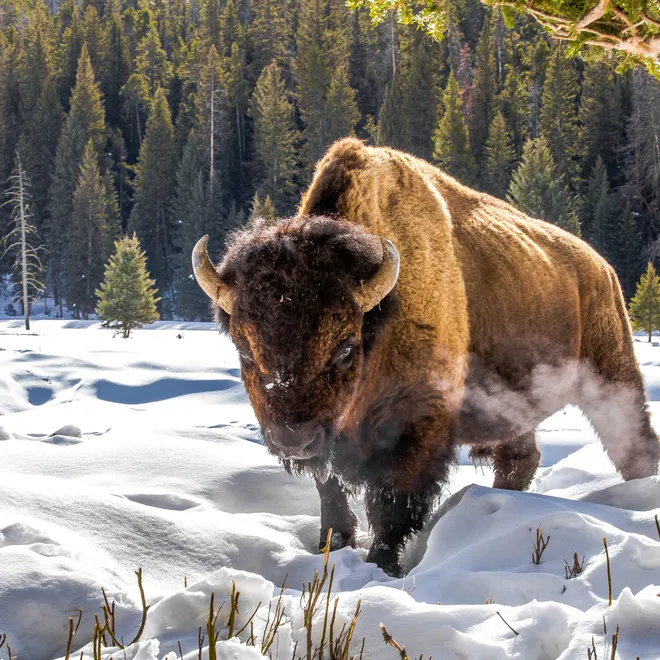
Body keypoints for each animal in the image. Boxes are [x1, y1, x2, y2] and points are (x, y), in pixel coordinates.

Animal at [192, 138, 659, 576]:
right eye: (244, 349)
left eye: (345, 347)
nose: (292, 438)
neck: (381, 319)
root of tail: (602, 268)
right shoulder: (332, 443)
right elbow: (332, 496)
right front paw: (333, 548)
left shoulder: (419, 423)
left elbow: (393, 505)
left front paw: (383, 566)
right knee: (520, 457)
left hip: (613, 375)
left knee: (634, 447)